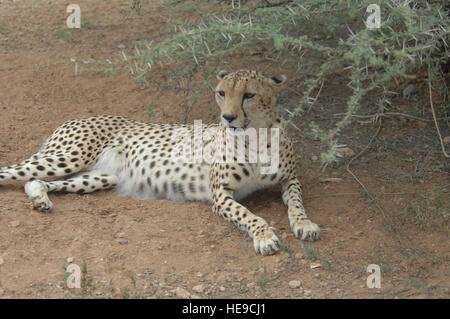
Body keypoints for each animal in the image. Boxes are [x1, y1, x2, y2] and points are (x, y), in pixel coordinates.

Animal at [1, 70, 322, 258]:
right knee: (11, 172)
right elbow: (248, 215)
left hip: (98, 176)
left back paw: (40, 199)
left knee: (36, 181)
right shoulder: (220, 195)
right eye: (222, 93)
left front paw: (304, 223)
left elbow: (297, 202)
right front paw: (264, 235)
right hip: (68, 157)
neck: (255, 134)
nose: (228, 118)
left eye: (249, 95)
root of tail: (76, 117)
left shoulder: (290, 179)